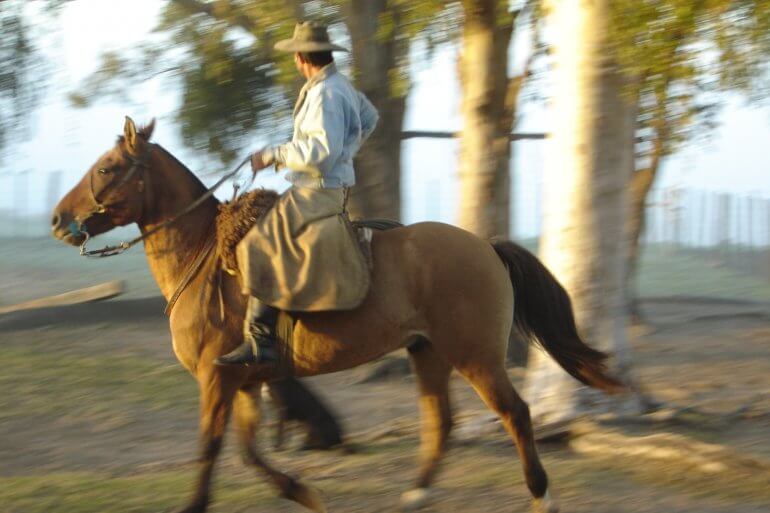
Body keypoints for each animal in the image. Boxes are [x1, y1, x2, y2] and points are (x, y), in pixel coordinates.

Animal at [49, 117, 624, 512]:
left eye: (106, 168)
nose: (57, 219)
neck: (206, 255)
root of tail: (485, 246)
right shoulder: (243, 382)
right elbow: (247, 452)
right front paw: (305, 492)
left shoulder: (217, 379)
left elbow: (211, 448)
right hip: (428, 353)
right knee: (440, 423)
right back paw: (415, 496)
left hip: (475, 356)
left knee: (515, 414)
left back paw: (541, 495)